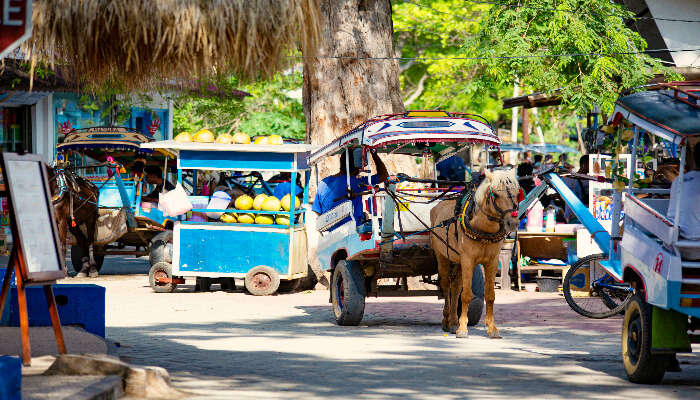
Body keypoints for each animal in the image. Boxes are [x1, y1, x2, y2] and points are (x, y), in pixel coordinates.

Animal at [426, 168, 520, 338]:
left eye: (517, 193)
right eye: (496, 195)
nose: (513, 222)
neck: (483, 228)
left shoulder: (492, 261)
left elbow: (489, 295)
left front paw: (492, 328)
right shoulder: (468, 259)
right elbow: (467, 295)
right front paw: (463, 328)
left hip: (457, 260)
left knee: (455, 287)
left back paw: (453, 321)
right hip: (442, 257)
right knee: (446, 286)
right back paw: (446, 320)